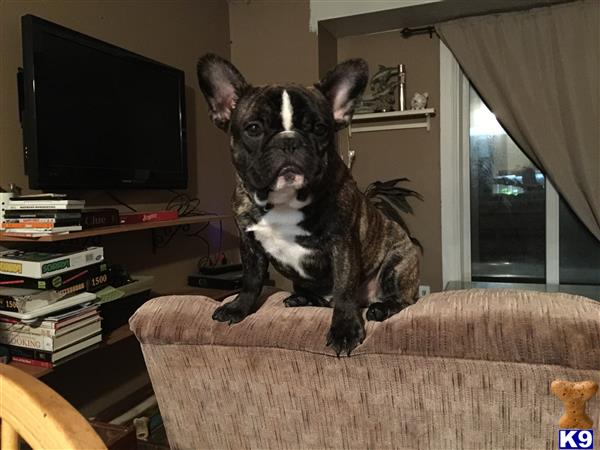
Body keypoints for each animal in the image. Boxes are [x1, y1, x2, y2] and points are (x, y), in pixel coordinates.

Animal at [196, 53, 418, 356]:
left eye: (320, 129)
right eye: (253, 128)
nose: (289, 141)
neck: (285, 200)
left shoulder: (342, 242)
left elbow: (345, 289)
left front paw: (344, 330)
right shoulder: (249, 243)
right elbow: (251, 280)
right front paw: (238, 307)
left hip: (398, 262)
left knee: (401, 299)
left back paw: (380, 308)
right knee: (320, 299)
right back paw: (302, 299)